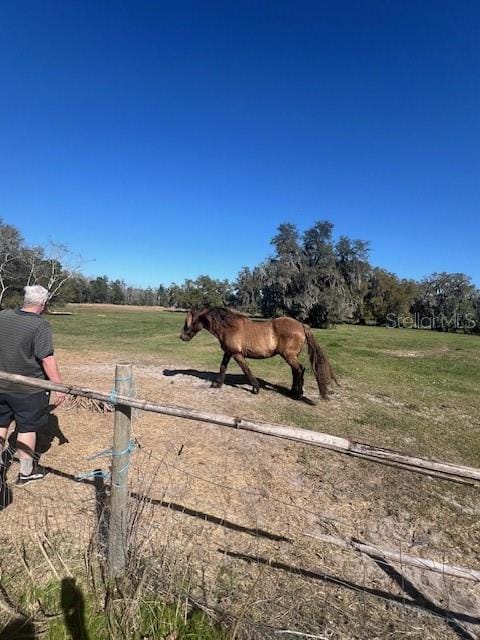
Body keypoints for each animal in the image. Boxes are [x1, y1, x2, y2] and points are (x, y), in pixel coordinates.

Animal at [180, 306, 338, 400]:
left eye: (192, 322)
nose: (182, 337)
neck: (229, 327)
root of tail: (301, 325)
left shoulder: (237, 354)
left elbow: (246, 369)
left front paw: (255, 388)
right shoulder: (229, 353)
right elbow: (222, 367)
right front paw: (217, 384)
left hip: (289, 355)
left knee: (299, 370)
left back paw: (296, 394)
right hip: (292, 356)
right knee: (296, 371)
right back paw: (294, 391)